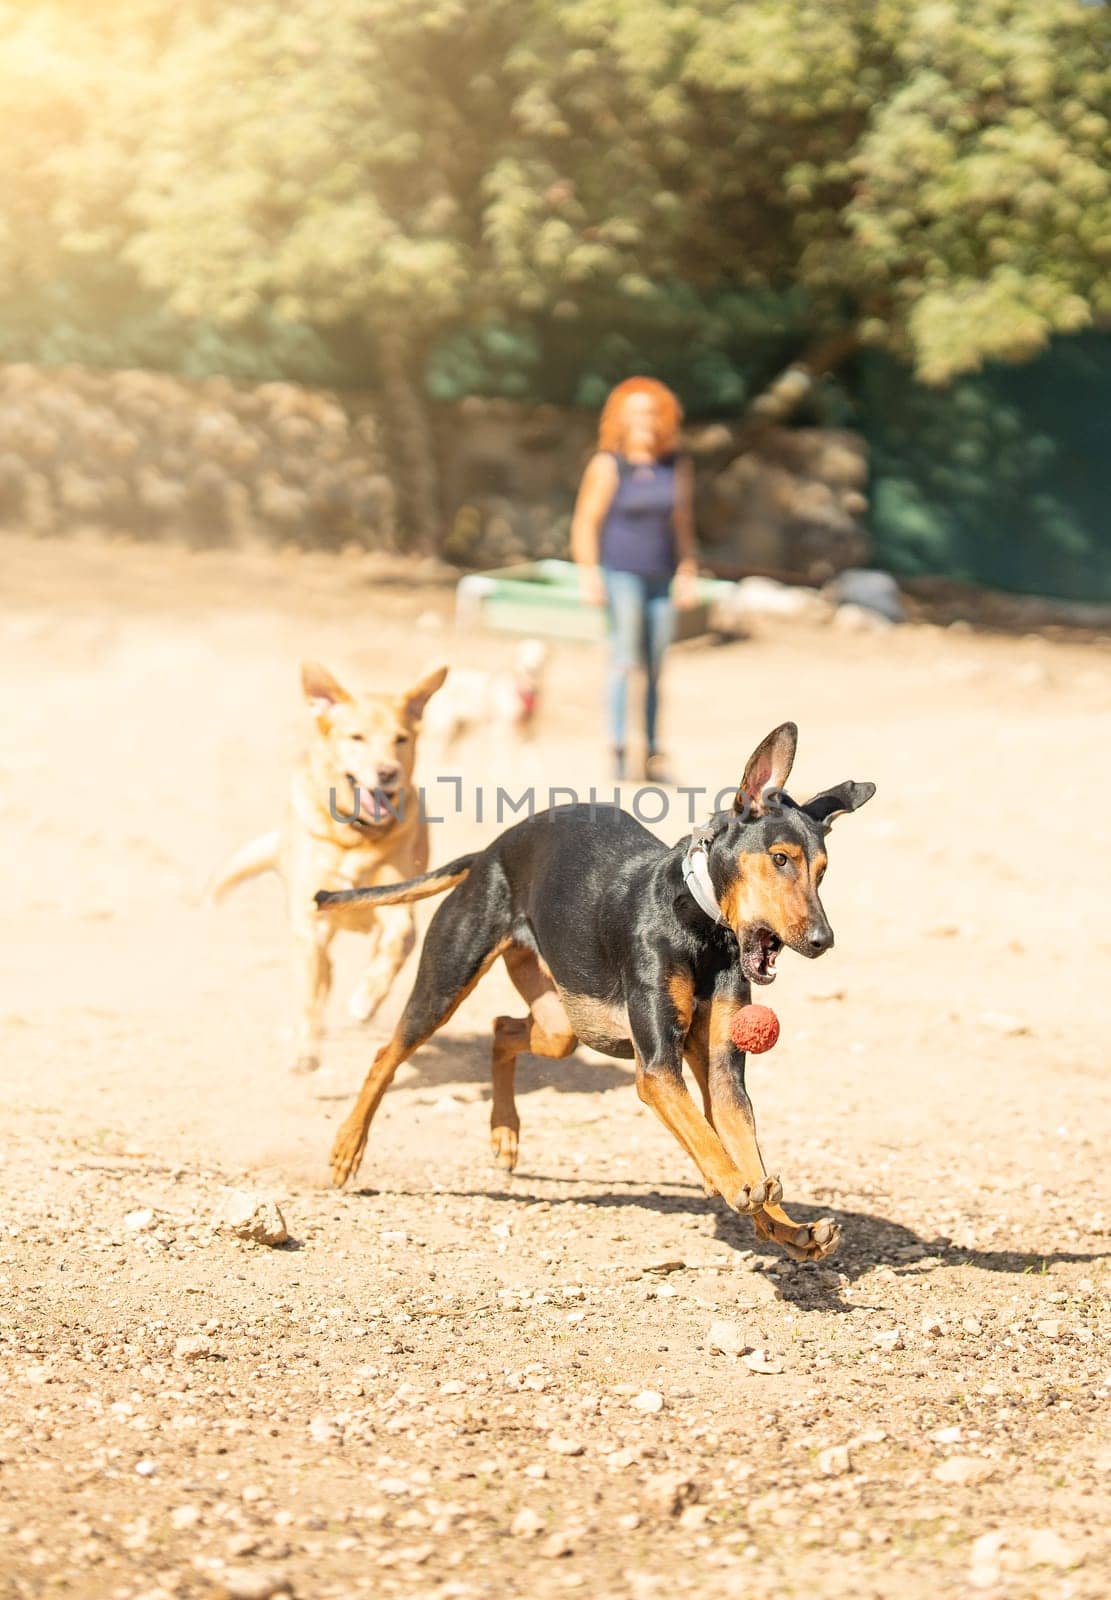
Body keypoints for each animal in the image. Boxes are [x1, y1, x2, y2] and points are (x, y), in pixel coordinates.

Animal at [211, 662, 445, 1075]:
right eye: (357, 737)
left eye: (400, 739)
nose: (387, 772)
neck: (355, 836)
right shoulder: (310, 924)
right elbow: (307, 997)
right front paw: (305, 1052)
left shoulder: (398, 905)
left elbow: (395, 944)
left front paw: (366, 1000)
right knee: (322, 981)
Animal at [316, 726, 877, 1260]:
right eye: (780, 859)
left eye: (822, 871)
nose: (823, 940)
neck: (698, 925)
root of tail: (491, 852)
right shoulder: (657, 1069)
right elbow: (710, 1141)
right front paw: (738, 1186)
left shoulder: (721, 1068)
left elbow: (738, 1142)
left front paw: (789, 1230)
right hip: (447, 982)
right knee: (387, 1054)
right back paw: (346, 1148)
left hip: (563, 1023)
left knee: (502, 1029)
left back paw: (504, 1132)